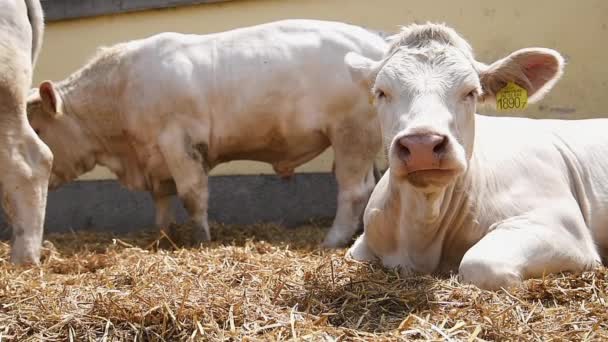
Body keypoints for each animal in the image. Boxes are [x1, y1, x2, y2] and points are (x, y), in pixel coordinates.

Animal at [26, 19, 388, 246]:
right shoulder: (155, 157)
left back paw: (332, 240)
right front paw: (163, 238)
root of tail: (376, 40)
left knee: (354, 189)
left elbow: (191, 194)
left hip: (351, 133)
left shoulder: (178, 141)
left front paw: (200, 240)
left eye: (38, 129)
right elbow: (162, 200)